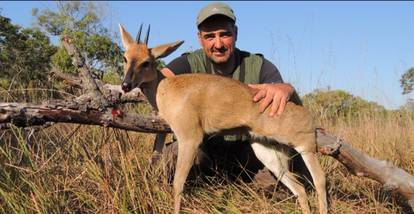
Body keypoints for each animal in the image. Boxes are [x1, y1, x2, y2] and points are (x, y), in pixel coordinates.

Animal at [119, 24, 326, 213]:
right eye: (125, 57)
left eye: (146, 62)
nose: (126, 85)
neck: (165, 88)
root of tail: (305, 112)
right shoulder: (162, 132)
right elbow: (154, 159)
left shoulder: (190, 138)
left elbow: (178, 184)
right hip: (268, 153)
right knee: (300, 188)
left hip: (305, 146)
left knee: (319, 179)